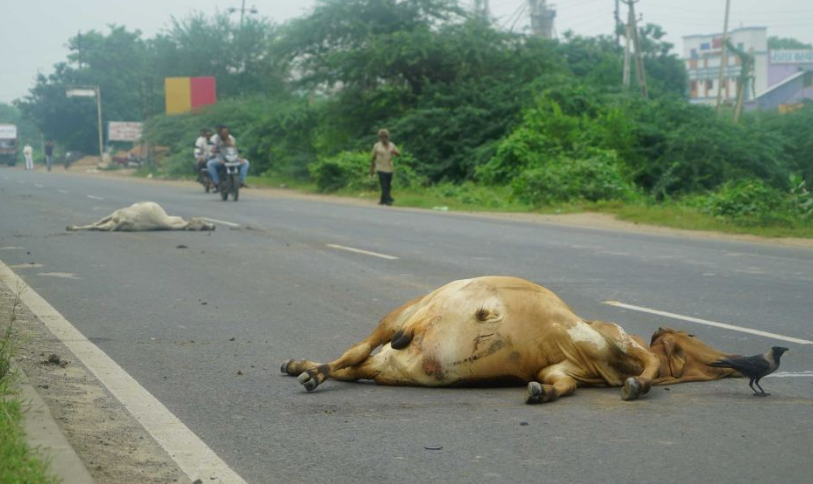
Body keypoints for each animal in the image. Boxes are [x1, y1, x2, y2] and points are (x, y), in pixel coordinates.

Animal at [282, 276, 740, 404]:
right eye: (690, 338)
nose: (734, 361)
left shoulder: (565, 365)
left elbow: (561, 385)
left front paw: (541, 393)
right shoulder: (605, 338)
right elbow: (646, 366)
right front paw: (638, 385)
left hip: (384, 360)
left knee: (354, 367)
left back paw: (300, 366)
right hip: (398, 314)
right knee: (354, 353)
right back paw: (311, 375)